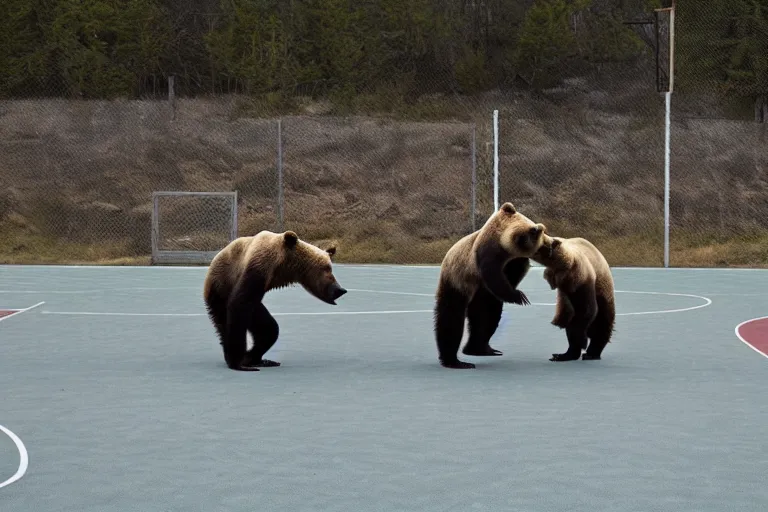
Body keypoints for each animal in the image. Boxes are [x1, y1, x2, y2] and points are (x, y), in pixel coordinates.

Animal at [204, 232, 348, 372]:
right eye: (326, 268)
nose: (340, 290)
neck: (284, 265)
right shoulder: (258, 267)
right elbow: (240, 304)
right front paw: (238, 363)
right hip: (221, 289)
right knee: (227, 321)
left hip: (253, 306)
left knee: (268, 328)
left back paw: (258, 360)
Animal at [432, 203, 552, 368]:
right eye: (537, 231)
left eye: (542, 232)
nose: (551, 244)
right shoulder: (487, 252)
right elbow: (493, 275)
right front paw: (520, 297)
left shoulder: (514, 262)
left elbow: (508, 279)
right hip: (456, 279)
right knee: (451, 315)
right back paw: (455, 361)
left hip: (479, 294)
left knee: (485, 316)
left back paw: (480, 349)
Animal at [532, 234, 616, 362]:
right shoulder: (566, 290)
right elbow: (570, 317)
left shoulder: (582, 278)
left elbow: (586, 310)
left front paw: (582, 341)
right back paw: (562, 355)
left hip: (603, 290)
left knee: (603, 321)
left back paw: (592, 353)